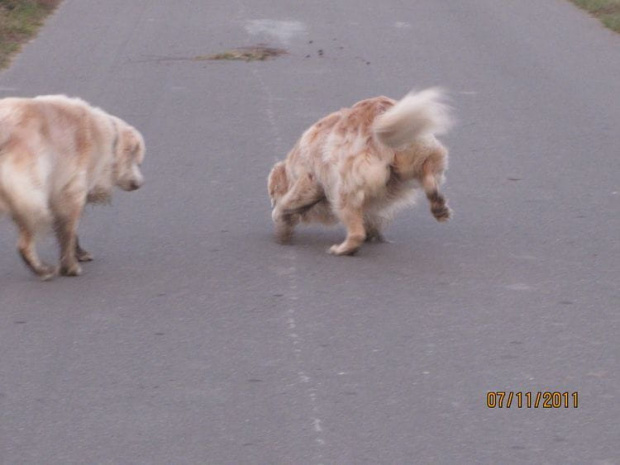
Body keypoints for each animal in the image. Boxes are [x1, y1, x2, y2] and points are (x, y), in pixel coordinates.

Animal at [268, 86, 452, 254]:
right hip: (419, 151)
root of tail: (378, 115)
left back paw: (343, 249)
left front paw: (281, 219)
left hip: (344, 189)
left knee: (356, 232)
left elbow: (288, 203)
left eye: (273, 195)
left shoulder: (309, 180)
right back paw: (438, 205)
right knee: (428, 175)